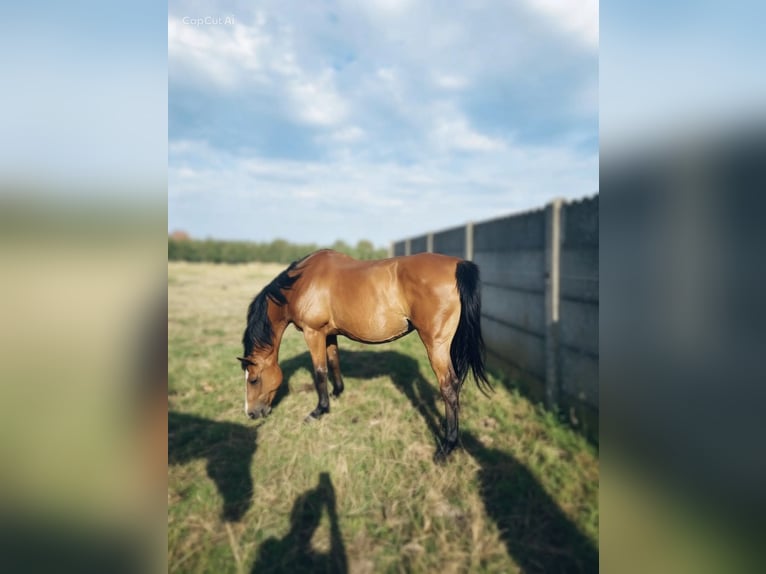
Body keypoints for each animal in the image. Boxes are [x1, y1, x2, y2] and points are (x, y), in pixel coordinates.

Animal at [237, 249, 492, 460]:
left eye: (254, 379)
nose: (251, 413)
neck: (300, 283)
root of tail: (458, 264)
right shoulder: (329, 334)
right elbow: (334, 362)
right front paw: (337, 393)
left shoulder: (313, 333)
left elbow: (319, 371)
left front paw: (319, 410)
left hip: (436, 345)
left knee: (448, 387)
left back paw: (447, 446)